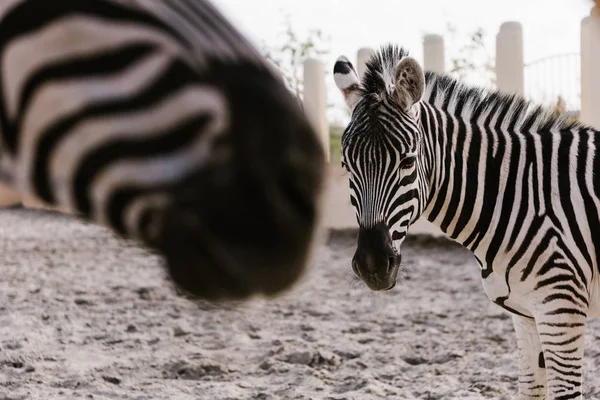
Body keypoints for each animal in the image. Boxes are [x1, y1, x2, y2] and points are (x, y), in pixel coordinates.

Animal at [332, 44, 600, 400]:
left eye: (407, 162)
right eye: (347, 166)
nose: (372, 265)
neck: (522, 195)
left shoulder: (561, 309)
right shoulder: (526, 314)